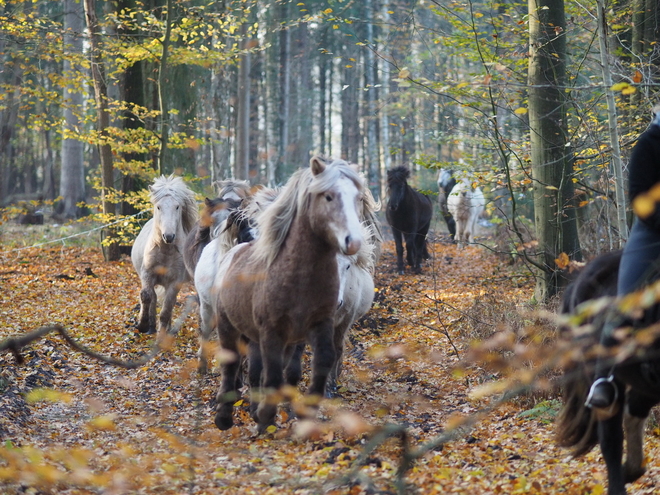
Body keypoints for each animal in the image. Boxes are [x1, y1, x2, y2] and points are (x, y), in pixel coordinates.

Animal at [131, 176, 197, 336]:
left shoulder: (174, 282)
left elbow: (166, 309)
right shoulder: (147, 274)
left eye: (177, 207)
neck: (165, 251)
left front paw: (161, 335)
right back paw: (151, 326)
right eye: (158, 207)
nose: (169, 236)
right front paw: (142, 325)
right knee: (153, 298)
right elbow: (146, 296)